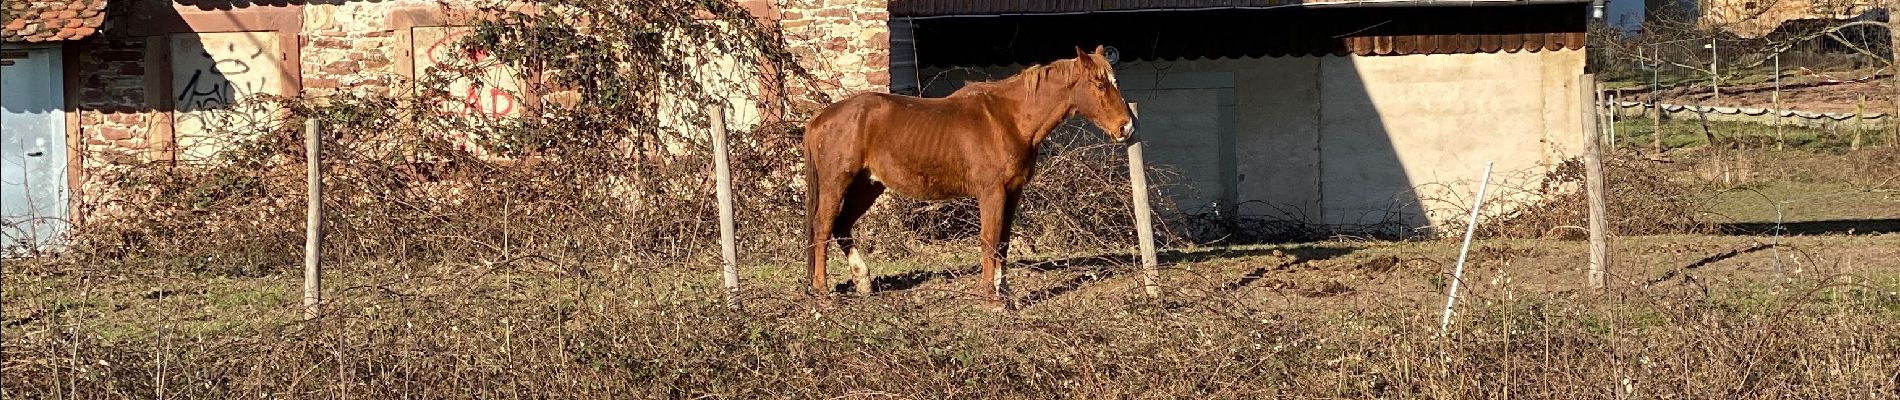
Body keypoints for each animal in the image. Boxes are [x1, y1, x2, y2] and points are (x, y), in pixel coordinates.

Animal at [805, 45, 1140, 307]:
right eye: (1099, 85)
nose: (1126, 127)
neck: (1010, 119)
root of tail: (820, 118)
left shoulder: (1013, 191)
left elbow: (1003, 242)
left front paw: (1006, 294)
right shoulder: (992, 192)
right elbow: (989, 240)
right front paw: (990, 298)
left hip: (868, 185)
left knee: (842, 226)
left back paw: (863, 282)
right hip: (838, 182)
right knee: (823, 227)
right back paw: (822, 290)